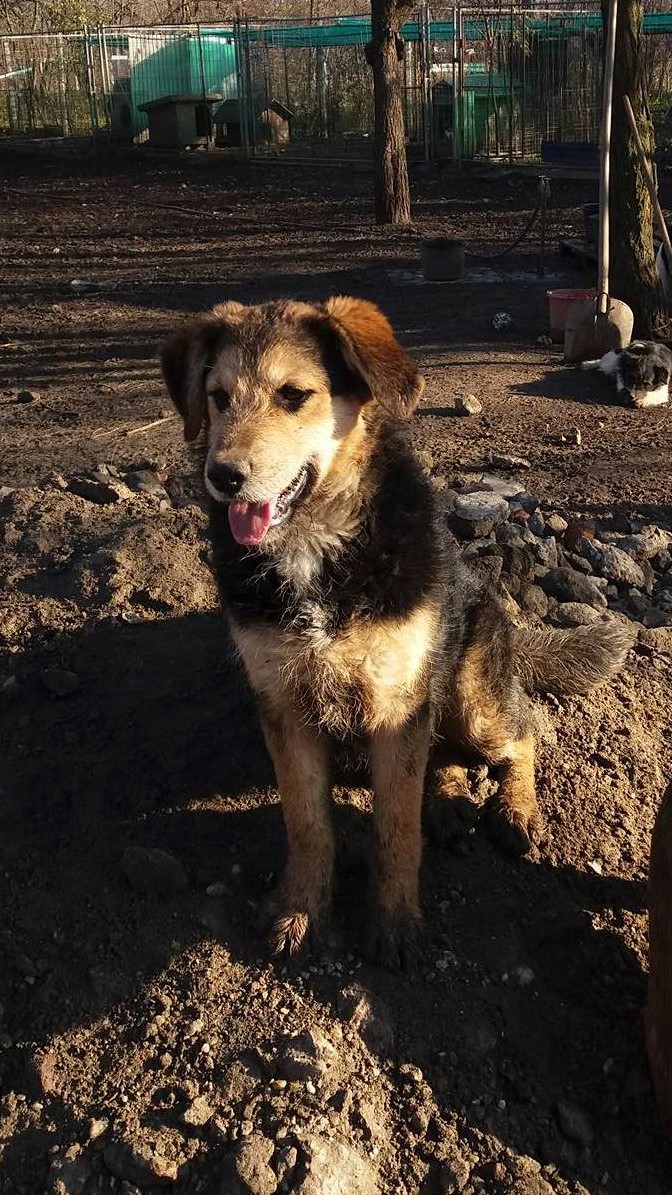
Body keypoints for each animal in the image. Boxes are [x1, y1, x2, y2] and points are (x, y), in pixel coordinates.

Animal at [161, 296, 633, 970]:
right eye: (218, 396)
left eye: (294, 395)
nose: (222, 476)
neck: (316, 544)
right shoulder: (282, 705)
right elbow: (307, 823)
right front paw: (300, 910)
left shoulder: (396, 703)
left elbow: (396, 826)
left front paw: (396, 922)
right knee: (445, 759)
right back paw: (448, 803)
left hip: (470, 696)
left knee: (522, 734)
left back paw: (515, 810)